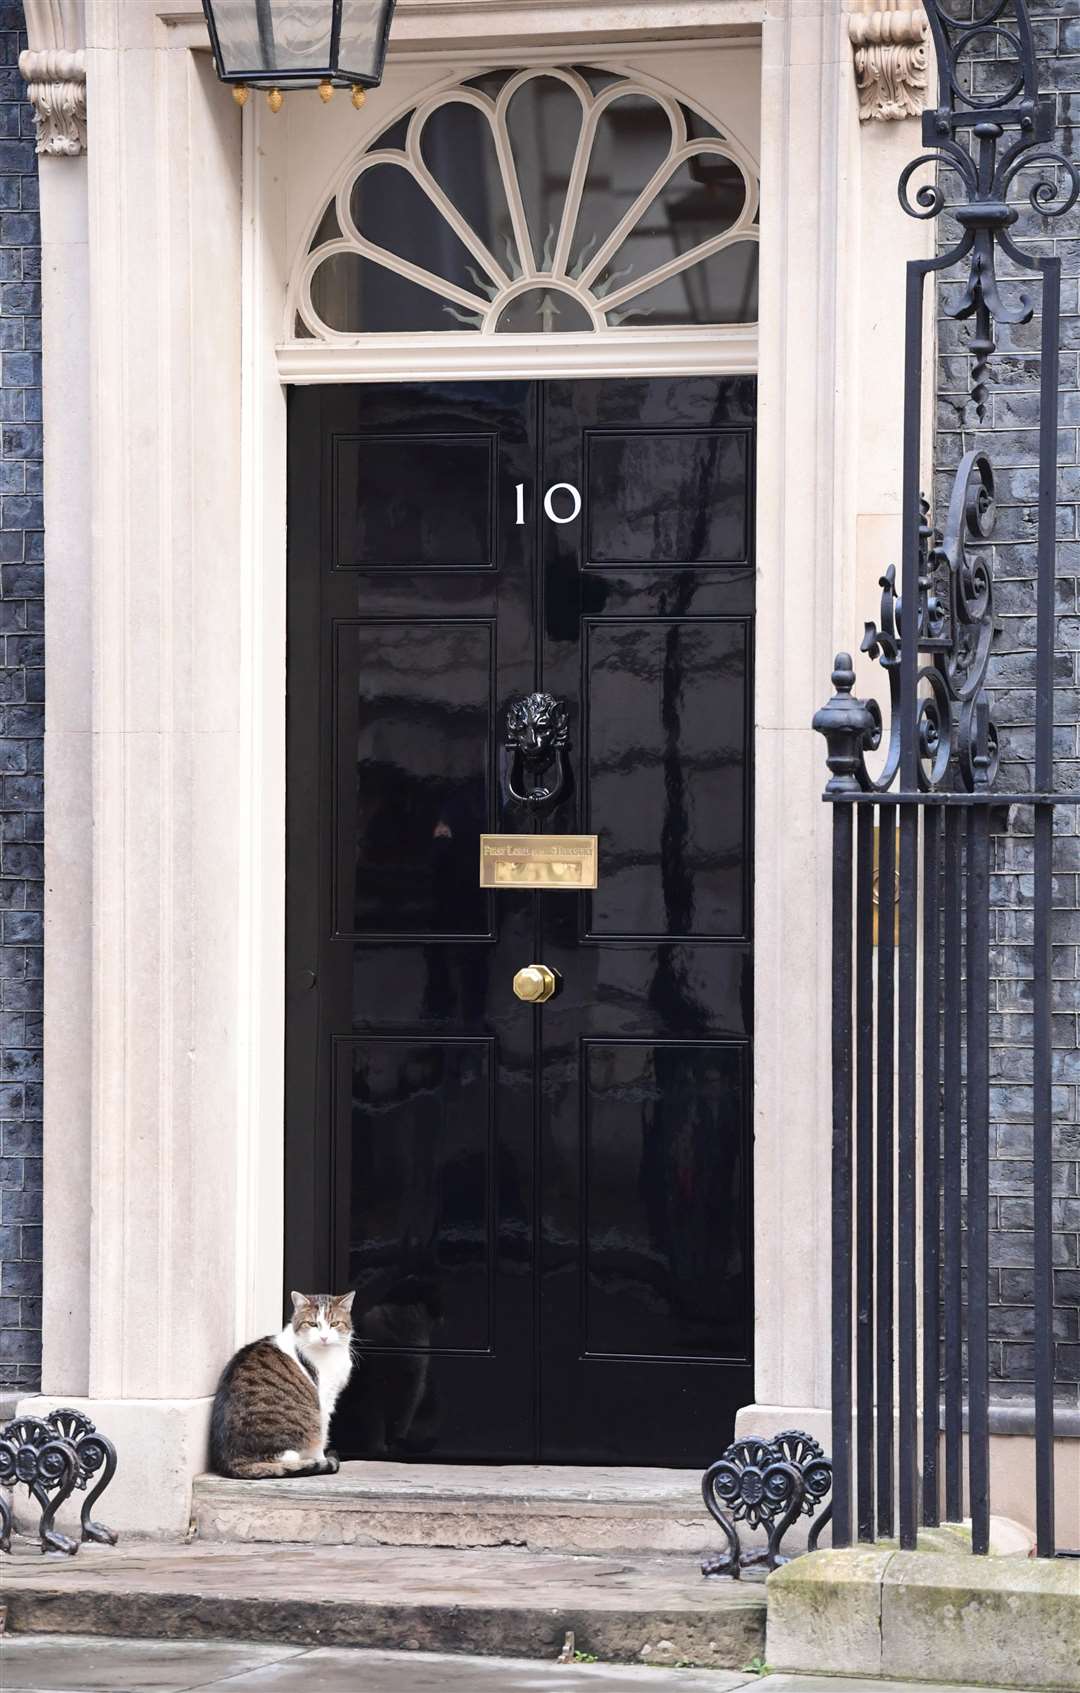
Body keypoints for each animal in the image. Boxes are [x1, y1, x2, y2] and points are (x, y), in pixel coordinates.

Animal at [211, 1286, 358, 1476]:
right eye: (312, 1324)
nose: (324, 1338)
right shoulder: (324, 1400)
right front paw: (322, 1460)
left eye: (334, 1324)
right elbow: (323, 1433)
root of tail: (231, 1461)